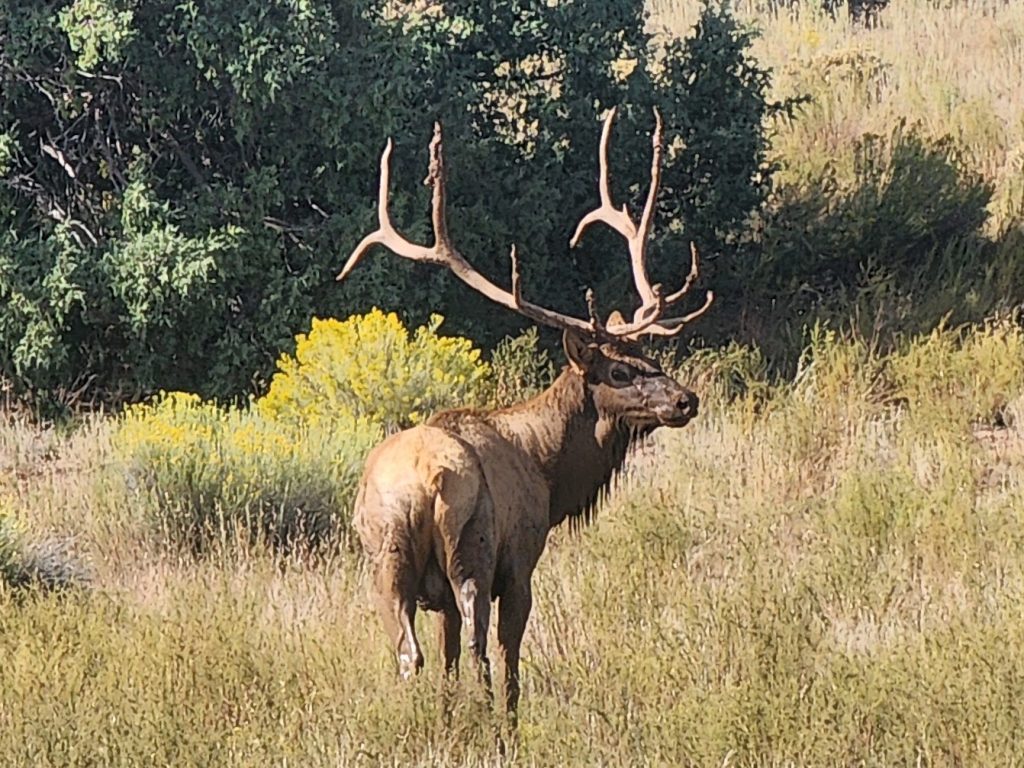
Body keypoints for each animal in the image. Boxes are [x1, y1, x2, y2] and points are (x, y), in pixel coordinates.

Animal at [335, 107, 712, 716]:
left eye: (651, 356)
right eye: (619, 372)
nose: (685, 399)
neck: (550, 472)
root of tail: (423, 483)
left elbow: (448, 660)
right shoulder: (520, 559)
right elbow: (509, 657)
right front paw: (509, 719)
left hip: (384, 557)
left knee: (411, 653)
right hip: (473, 549)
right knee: (479, 648)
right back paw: (490, 718)